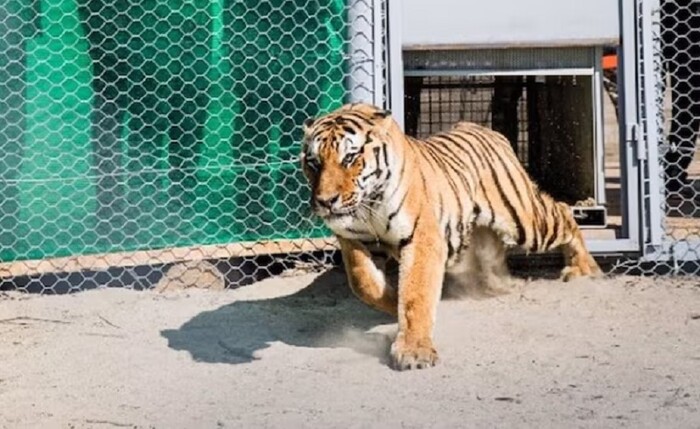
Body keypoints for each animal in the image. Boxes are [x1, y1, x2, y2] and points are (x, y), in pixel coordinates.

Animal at [300, 102, 600, 370]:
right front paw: (393, 302)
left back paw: (584, 270)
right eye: (314, 163)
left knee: (563, 212)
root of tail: (482, 128)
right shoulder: (353, 240)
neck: (368, 205)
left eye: (349, 158)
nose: (326, 201)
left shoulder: (422, 238)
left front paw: (413, 351)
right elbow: (364, 283)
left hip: (524, 220)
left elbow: (416, 294)